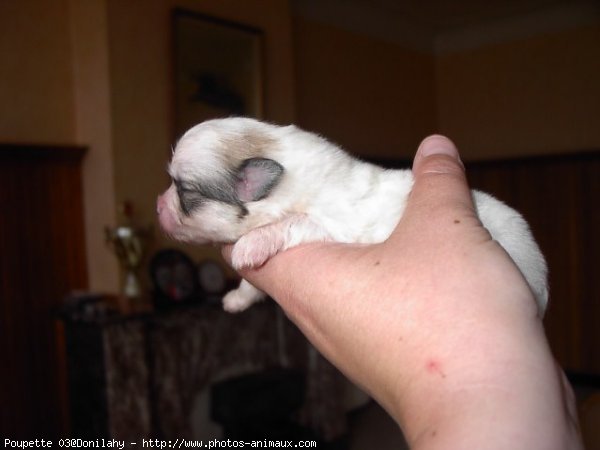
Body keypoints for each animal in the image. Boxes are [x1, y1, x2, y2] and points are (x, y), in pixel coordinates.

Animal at [156, 118, 548, 314]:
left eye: (182, 190)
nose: (158, 206)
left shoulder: (332, 225)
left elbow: (291, 224)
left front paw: (249, 247)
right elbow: (251, 286)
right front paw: (235, 300)